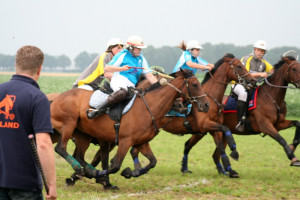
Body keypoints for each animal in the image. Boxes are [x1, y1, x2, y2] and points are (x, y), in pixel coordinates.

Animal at [49, 69, 209, 186]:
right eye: (195, 84)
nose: (206, 105)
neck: (148, 108)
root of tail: (54, 99)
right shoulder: (125, 141)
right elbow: (114, 165)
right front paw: (101, 176)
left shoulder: (142, 142)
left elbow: (152, 162)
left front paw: (129, 173)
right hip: (69, 124)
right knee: (60, 148)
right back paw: (81, 170)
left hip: (84, 134)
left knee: (79, 155)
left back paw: (84, 171)